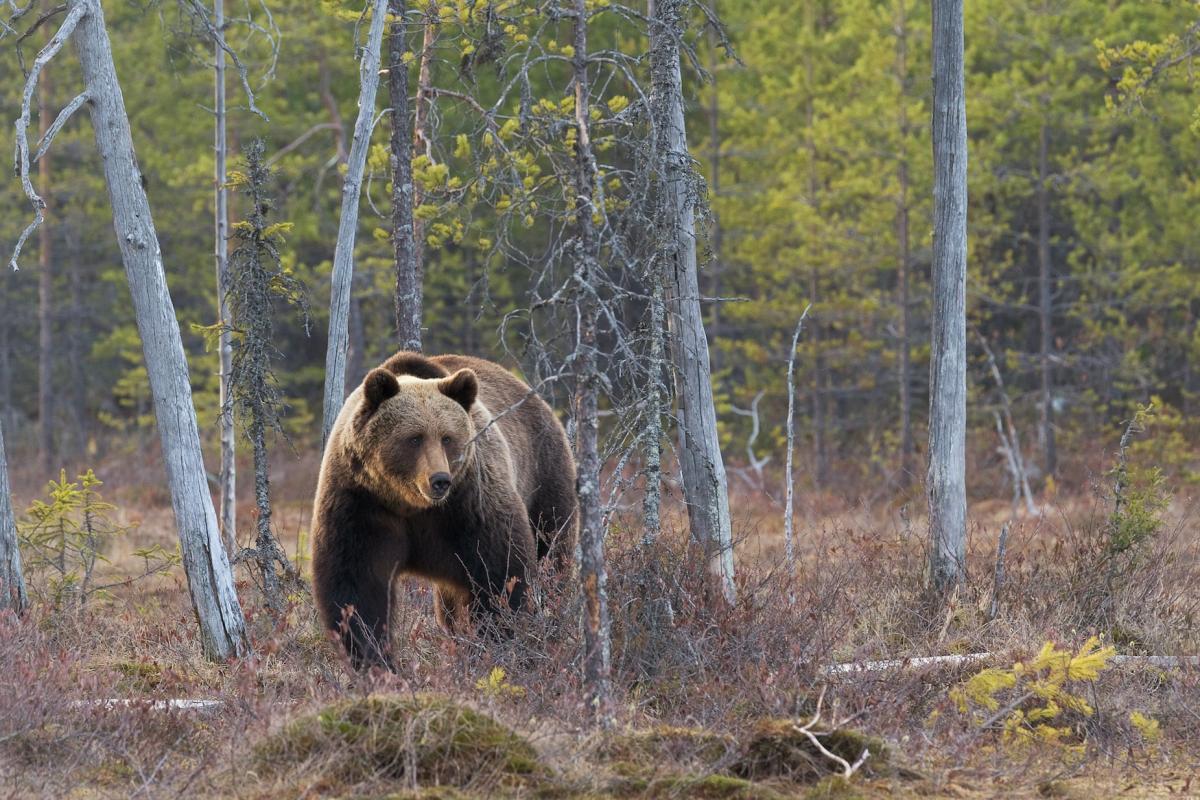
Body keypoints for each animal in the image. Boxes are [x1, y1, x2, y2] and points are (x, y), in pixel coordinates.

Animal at [307, 352, 573, 671]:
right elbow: (356, 586)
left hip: (543, 475)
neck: (410, 503)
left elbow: (500, 573)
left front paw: (496, 643)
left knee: (552, 551)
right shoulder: (360, 503)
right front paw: (375, 661)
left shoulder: (469, 504)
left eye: (447, 437)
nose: (440, 479)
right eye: (414, 437)